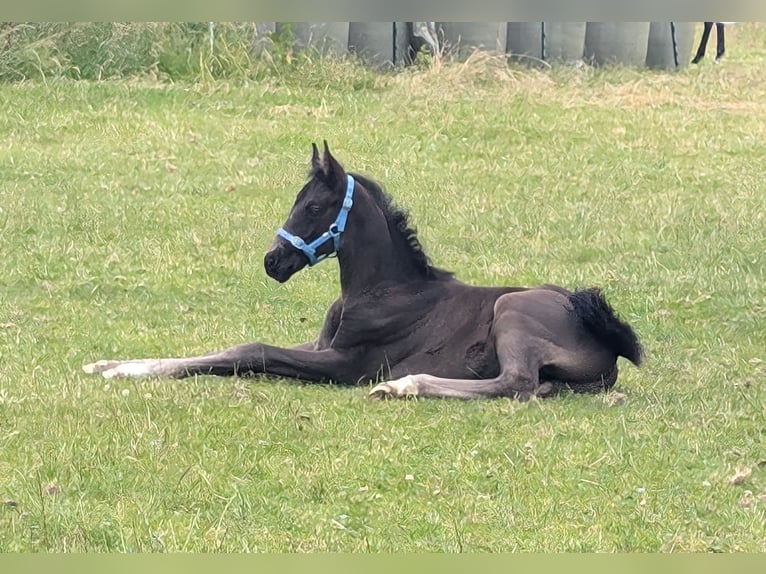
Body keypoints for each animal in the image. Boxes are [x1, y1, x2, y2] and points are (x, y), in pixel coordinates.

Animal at [83, 142, 643, 400]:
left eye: (313, 206)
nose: (272, 261)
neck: (382, 289)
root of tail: (610, 339)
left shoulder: (344, 363)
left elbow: (252, 350)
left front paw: (124, 370)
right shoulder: (320, 345)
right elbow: (225, 349)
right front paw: (113, 363)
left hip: (512, 309)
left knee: (516, 383)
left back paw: (402, 386)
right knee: (533, 389)